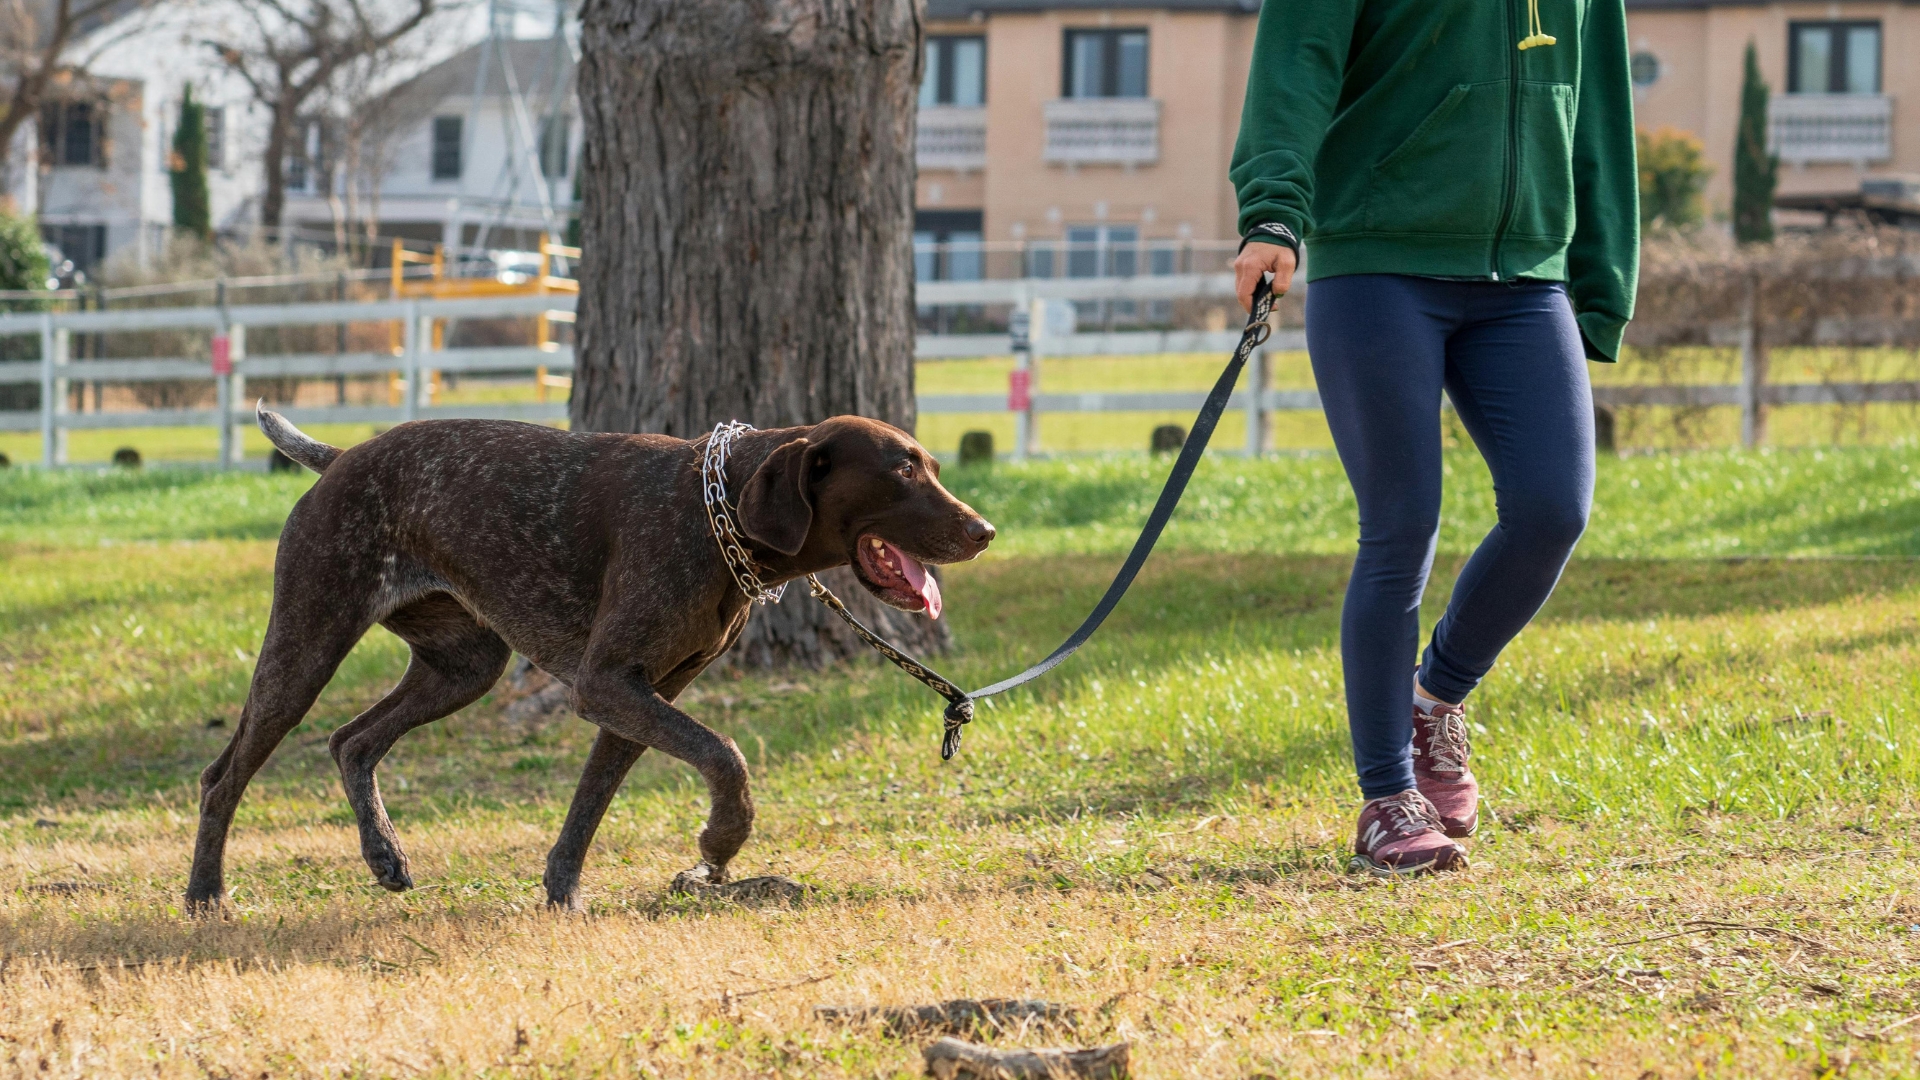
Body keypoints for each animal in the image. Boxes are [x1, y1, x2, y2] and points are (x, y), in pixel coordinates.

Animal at [187, 407, 998, 903]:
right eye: (901, 472)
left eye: (928, 466)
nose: (984, 531)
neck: (720, 512)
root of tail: (341, 457)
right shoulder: (610, 686)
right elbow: (728, 757)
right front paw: (722, 840)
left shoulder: (641, 696)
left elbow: (588, 807)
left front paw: (562, 897)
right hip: (306, 644)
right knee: (223, 776)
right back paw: (206, 895)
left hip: (463, 668)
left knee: (352, 741)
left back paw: (384, 853)